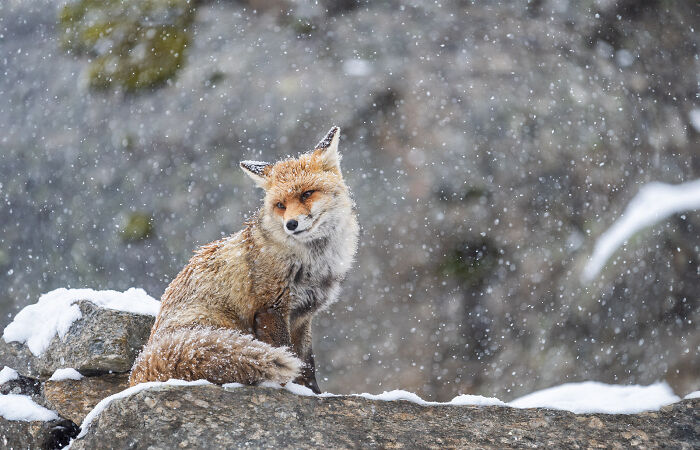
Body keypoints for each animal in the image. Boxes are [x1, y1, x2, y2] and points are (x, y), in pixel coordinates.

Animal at [129, 126, 359, 393]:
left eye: (307, 194)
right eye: (280, 205)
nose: (291, 224)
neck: (313, 261)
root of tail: (138, 367)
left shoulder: (303, 316)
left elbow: (308, 363)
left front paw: (314, 394)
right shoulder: (271, 308)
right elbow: (289, 353)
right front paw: (291, 389)